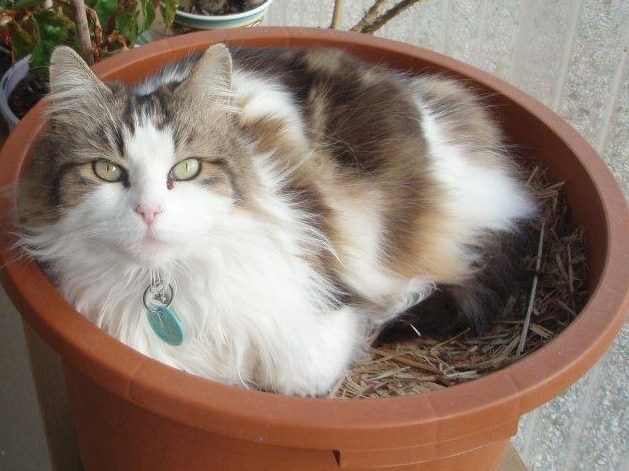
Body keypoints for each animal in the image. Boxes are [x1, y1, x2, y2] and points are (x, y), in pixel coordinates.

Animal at [15, 44, 536, 398]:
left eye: (187, 168)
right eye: (107, 170)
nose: (149, 210)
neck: (166, 279)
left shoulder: (319, 319)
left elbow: (298, 372)